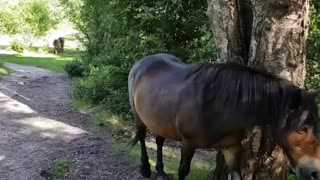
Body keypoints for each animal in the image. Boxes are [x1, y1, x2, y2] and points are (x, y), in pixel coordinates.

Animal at [129, 53, 320, 180]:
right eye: (302, 129)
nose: (315, 172)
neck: (219, 106)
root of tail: (142, 62)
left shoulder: (231, 148)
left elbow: (236, 175)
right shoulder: (188, 143)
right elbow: (183, 171)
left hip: (159, 121)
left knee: (159, 141)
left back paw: (161, 172)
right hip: (139, 117)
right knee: (142, 137)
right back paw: (145, 169)